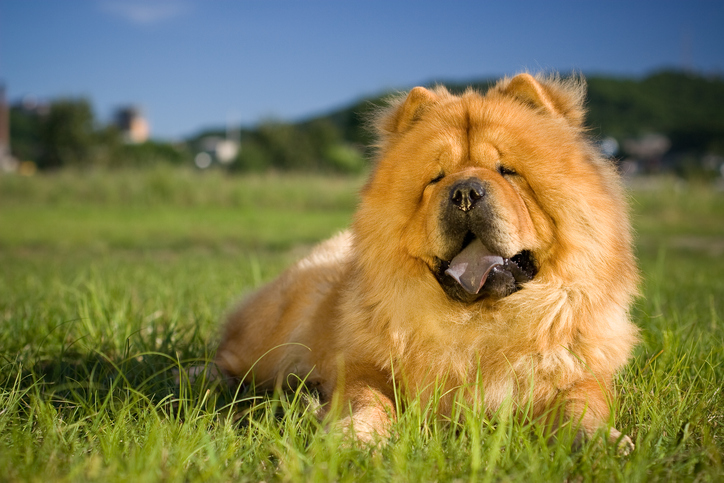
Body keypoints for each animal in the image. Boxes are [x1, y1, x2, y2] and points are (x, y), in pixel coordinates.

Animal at [216, 73, 640, 452]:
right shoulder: (363, 368)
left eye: (508, 171)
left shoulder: (583, 372)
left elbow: (579, 404)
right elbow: (369, 399)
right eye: (437, 178)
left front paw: (600, 443)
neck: (479, 324)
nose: (465, 192)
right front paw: (355, 437)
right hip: (276, 335)